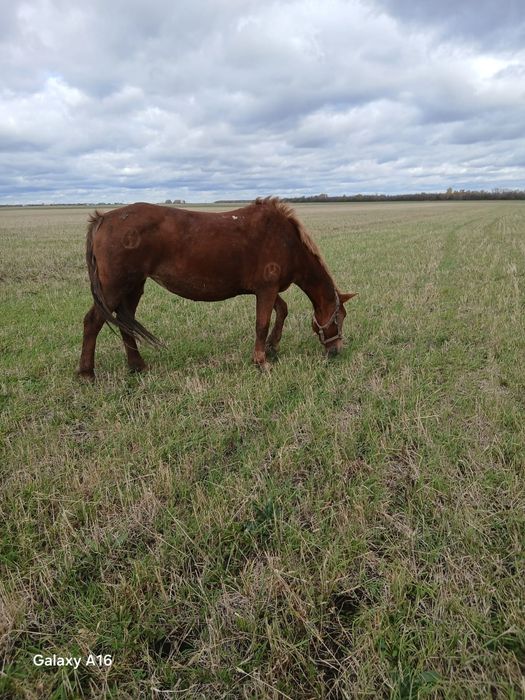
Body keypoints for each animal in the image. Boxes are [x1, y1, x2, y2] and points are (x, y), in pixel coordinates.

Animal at [78, 197, 356, 379]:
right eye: (340, 318)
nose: (336, 351)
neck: (287, 240)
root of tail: (103, 219)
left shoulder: (266, 289)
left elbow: (282, 310)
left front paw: (273, 347)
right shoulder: (266, 289)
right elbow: (262, 323)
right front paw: (262, 361)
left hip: (133, 286)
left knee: (126, 322)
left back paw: (137, 366)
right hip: (114, 288)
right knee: (93, 322)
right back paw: (87, 373)